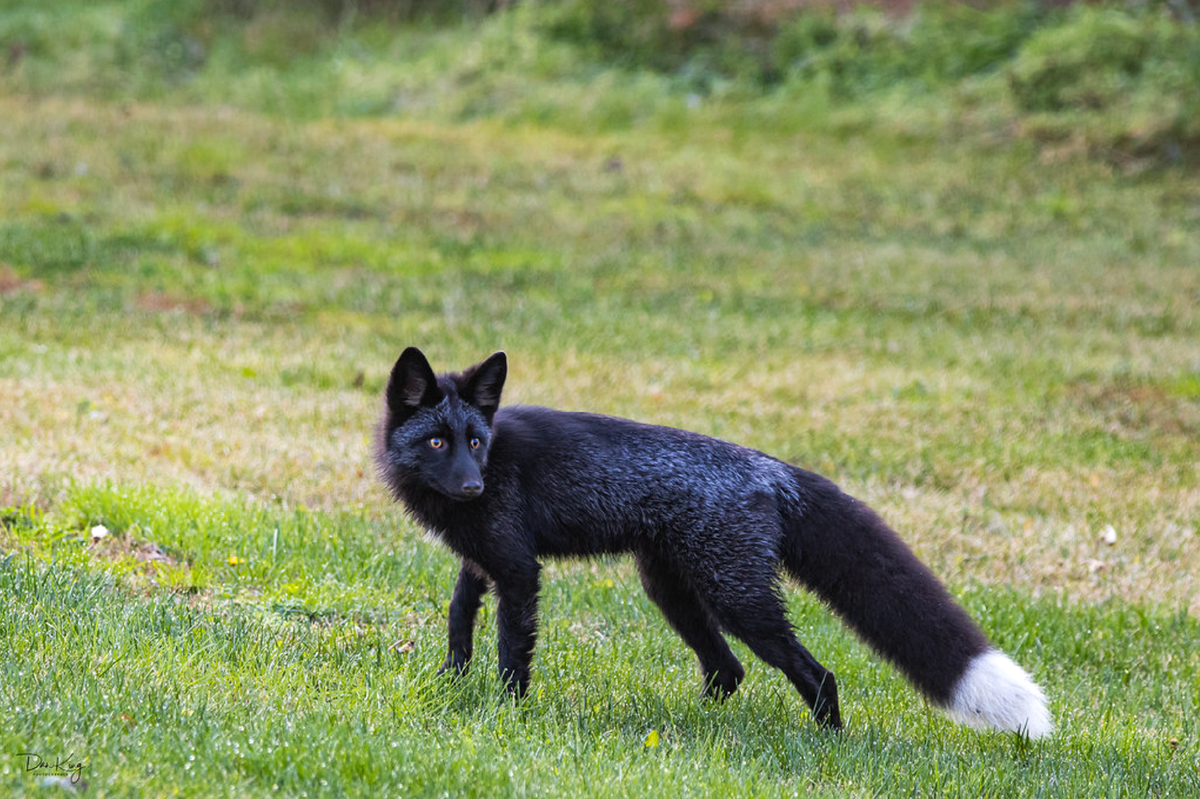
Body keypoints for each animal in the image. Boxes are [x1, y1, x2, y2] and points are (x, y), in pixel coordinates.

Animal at [372, 345, 1051, 739]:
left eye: (475, 442)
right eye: (438, 441)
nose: (472, 486)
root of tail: (772, 468)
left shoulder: (518, 570)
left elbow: (512, 652)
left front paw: (506, 714)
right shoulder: (482, 561)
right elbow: (460, 616)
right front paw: (451, 680)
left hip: (737, 601)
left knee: (816, 673)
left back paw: (830, 746)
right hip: (673, 590)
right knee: (729, 670)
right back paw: (690, 725)